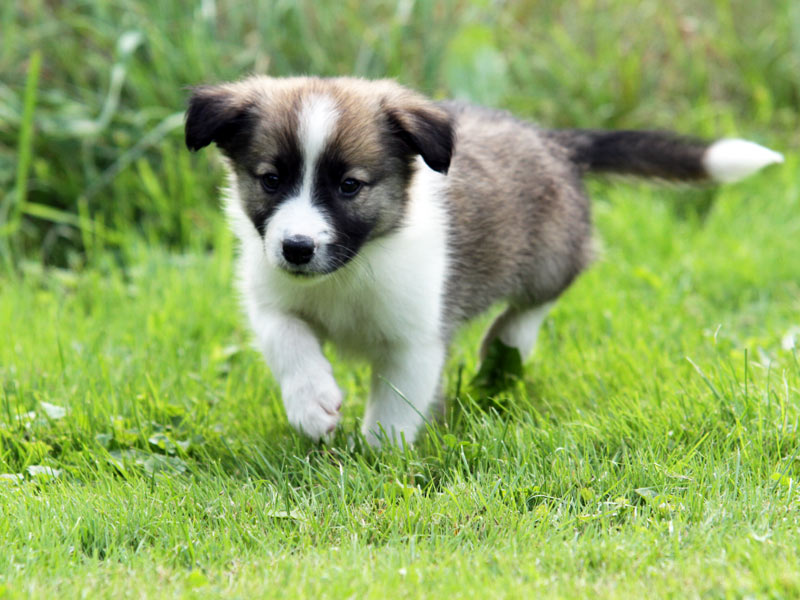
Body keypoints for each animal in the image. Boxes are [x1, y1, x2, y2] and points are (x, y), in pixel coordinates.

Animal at [184, 75, 784, 446]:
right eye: (270, 180)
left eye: (350, 186)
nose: (297, 248)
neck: (354, 266)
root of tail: (555, 141)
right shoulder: (271, 295)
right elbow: (287, 339)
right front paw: (312, 404)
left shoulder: (417, 338)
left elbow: (396, 406)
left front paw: (379, 456)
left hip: (549, 254)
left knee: (543, 295)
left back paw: (506, 344)